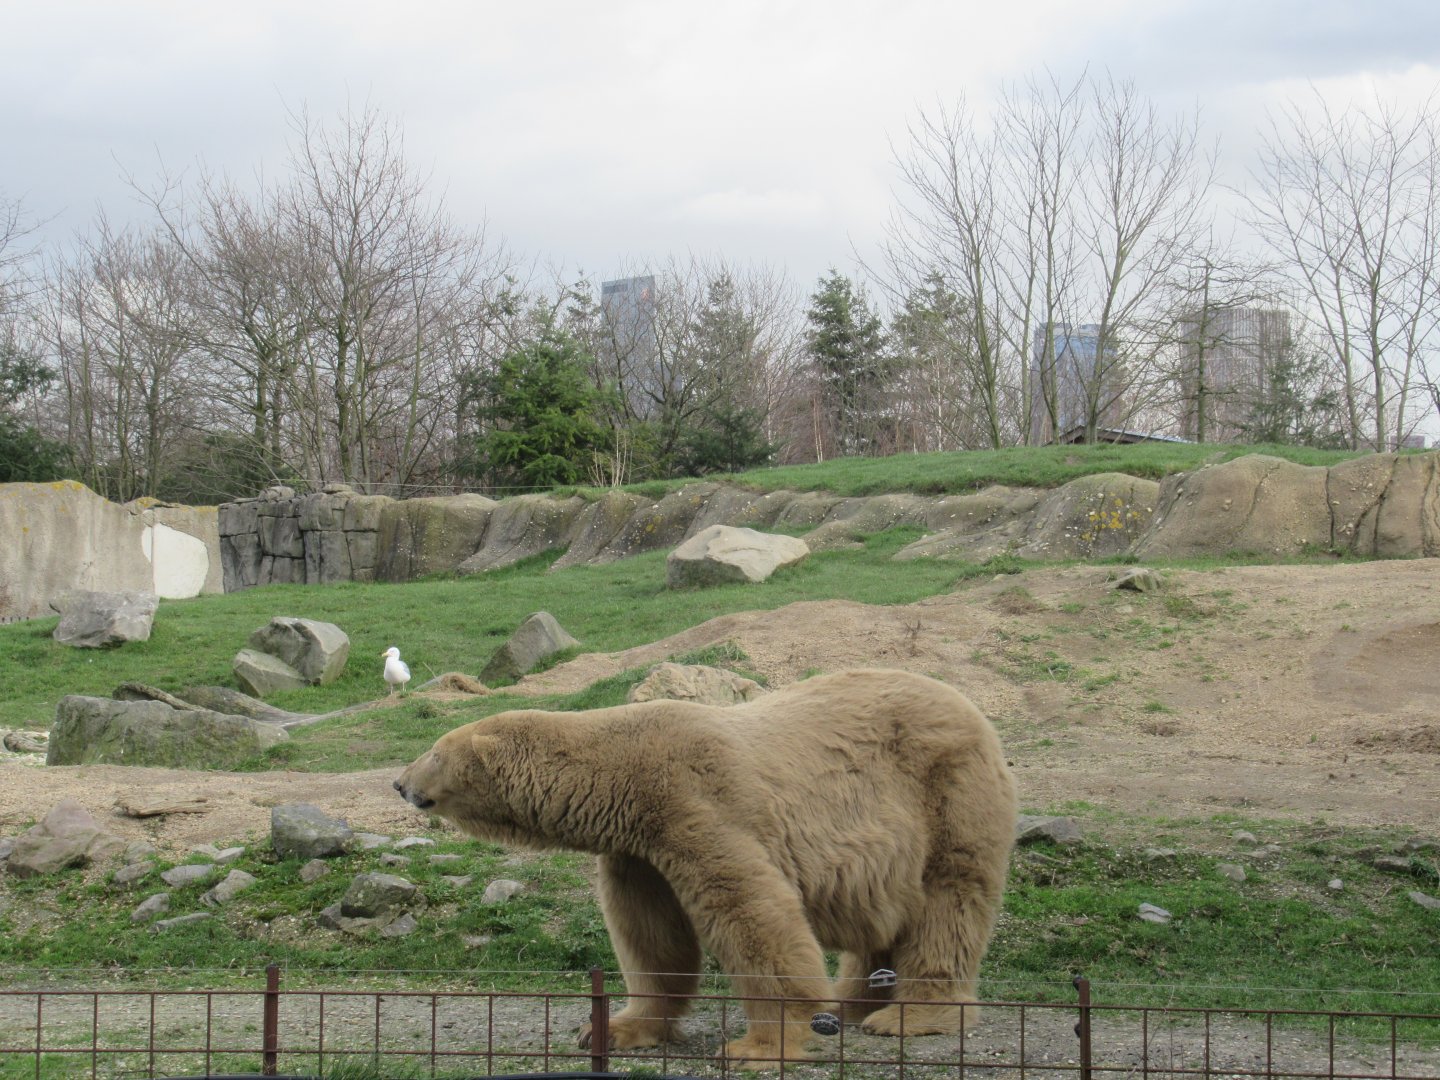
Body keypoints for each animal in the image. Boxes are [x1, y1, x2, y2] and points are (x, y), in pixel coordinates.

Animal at [393, 668, 1017, 1066]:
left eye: (431, 751)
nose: (399, 782)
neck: (624, 771)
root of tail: (974, 710)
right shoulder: (639, 849)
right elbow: (650, 935)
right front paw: (611, 1028)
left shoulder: (698, 803)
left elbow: (750, 911)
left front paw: (757, 1046)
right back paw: (854, 1000)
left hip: (946, 793)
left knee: (950, 901)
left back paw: (909, 1015)